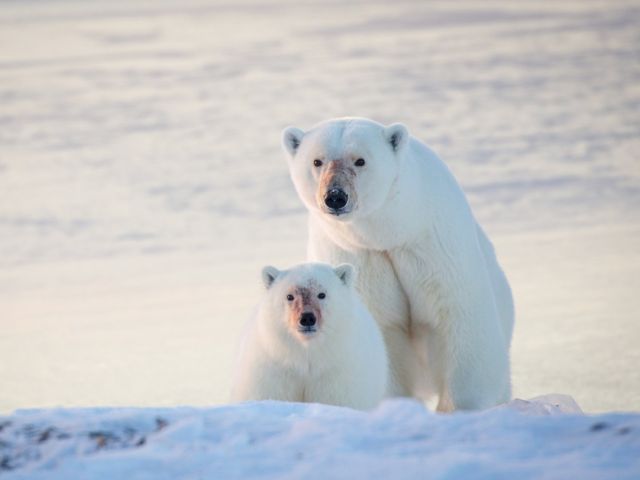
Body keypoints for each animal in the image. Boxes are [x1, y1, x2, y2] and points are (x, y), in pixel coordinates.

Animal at [230, 262, 389, 410]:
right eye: (289, 296)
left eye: (322, 294)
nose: (307, 318)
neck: (306, 356)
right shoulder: (273, 369)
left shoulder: (338, 371)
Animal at [281, 117, 514, 411]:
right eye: (317, 161)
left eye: (360, 160)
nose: (335, 196)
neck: (391, 232)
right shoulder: (359, 255)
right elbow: (384, 329)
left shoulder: (433, 244)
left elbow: (458, 315)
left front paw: (459, 407)